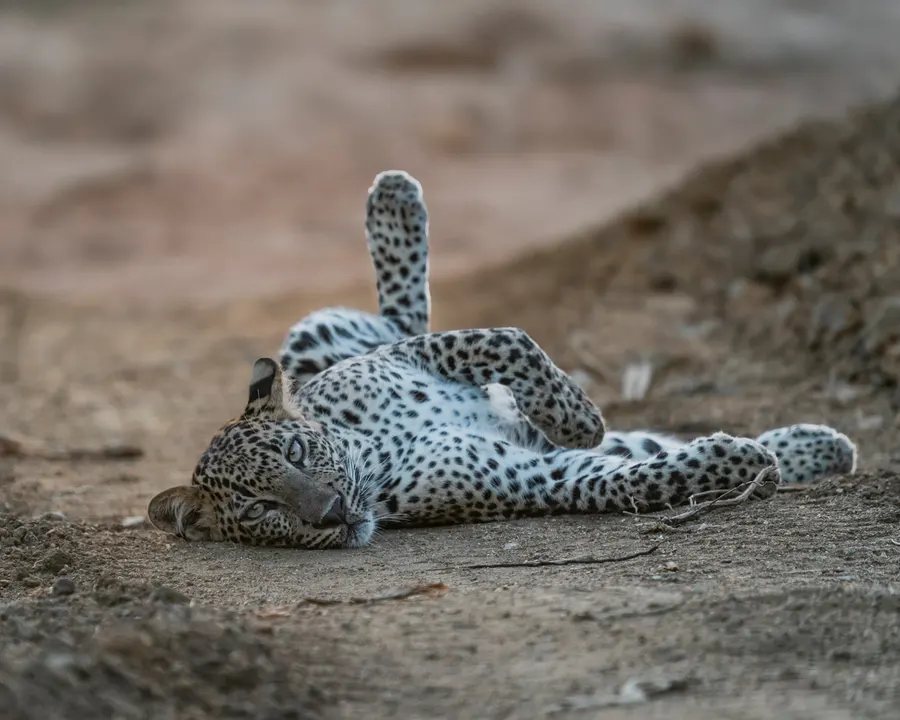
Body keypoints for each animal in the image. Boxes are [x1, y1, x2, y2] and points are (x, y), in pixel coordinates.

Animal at [148, 170, 858, 549]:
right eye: (261, 511)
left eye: (296, 453)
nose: (328, 513)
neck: (367, 453)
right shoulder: (534, 478)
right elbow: (637, 477)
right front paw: (736, 460)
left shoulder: (417, 356)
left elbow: (504, 340)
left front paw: (575, 414)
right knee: (643, 446)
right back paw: (801, 451)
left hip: (315, 332)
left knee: (402, 313)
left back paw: (394, 202)